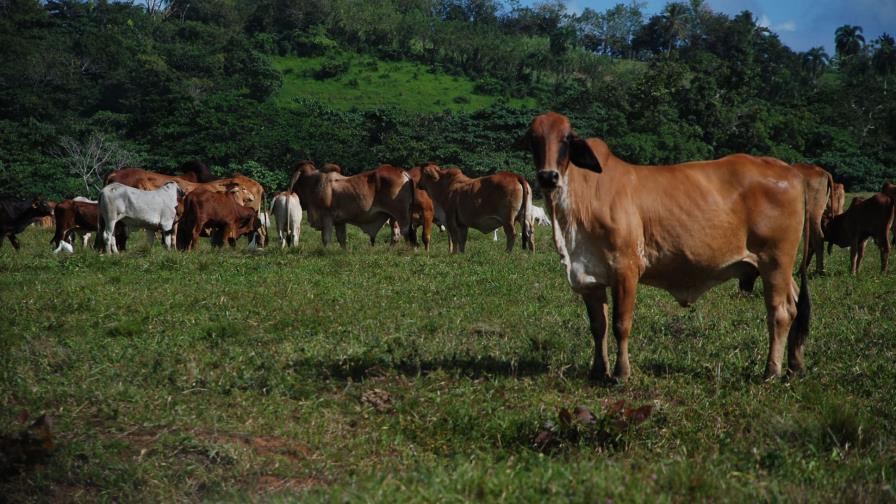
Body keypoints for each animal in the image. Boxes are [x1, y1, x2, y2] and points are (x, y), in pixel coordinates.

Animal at [517, 112, 811, 381]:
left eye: (566, 138)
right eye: (534, 139)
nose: (548, 176)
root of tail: (790, 171)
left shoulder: (626, 271)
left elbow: (621, 324)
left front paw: (621, 373)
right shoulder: (589, 278)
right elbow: (598, 326)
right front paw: (598, 372)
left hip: (775, 261)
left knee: (780, 312)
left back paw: (771, 371)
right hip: (777, 268)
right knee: (796, 304)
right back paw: (795, 366)